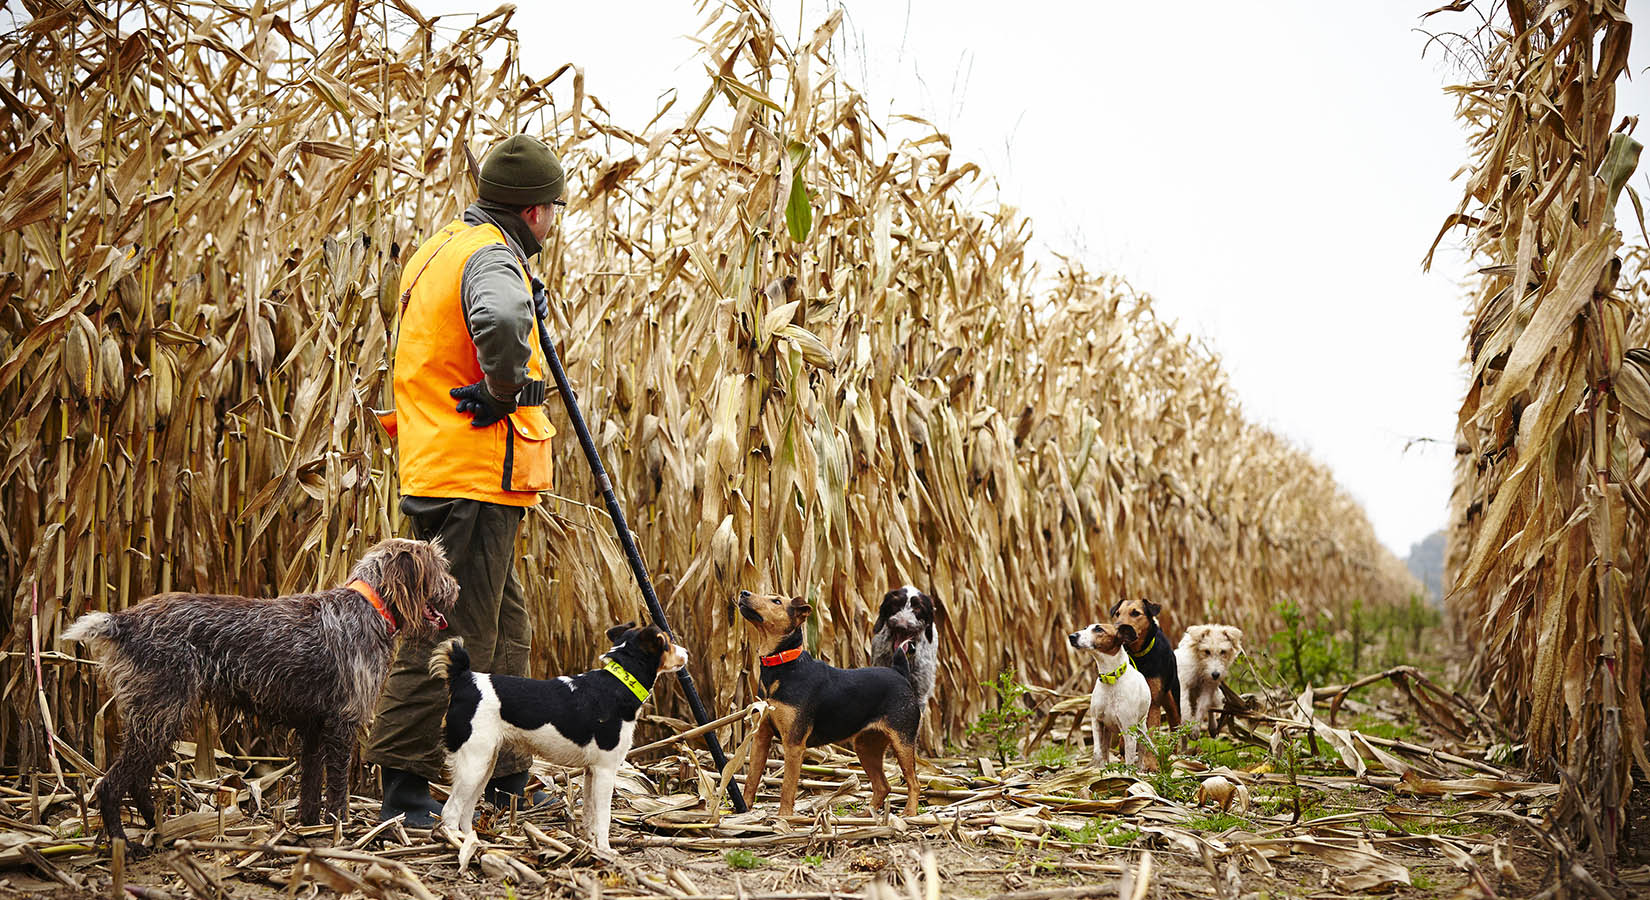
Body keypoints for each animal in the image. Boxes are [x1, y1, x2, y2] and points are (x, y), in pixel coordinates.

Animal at [64, 541, 458, 842]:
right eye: (439, 568)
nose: (456, 589)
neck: (369, 606)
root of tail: (125, 621)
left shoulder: (315, 727)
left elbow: (311, 786)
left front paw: (310, 829)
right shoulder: (342, 725)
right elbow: (337, 788)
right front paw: (341, 830)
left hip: (158, 718)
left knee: (137, 780)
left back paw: (158, 829)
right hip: (162, 713)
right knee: (111, 785)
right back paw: (124, 844)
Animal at [432, 620, 689, 852]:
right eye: (667, 642)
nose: (686, 653)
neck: (619, 683)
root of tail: (465, 679)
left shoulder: (591, 771)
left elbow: (589, 814)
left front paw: (591, 846)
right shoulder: (606, 769)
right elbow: (603, 816)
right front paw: (606, 851)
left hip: (485, 762)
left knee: (466, 810)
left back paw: (475, 844)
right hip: (473, 762)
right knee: (450, 811)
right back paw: (457, 844)